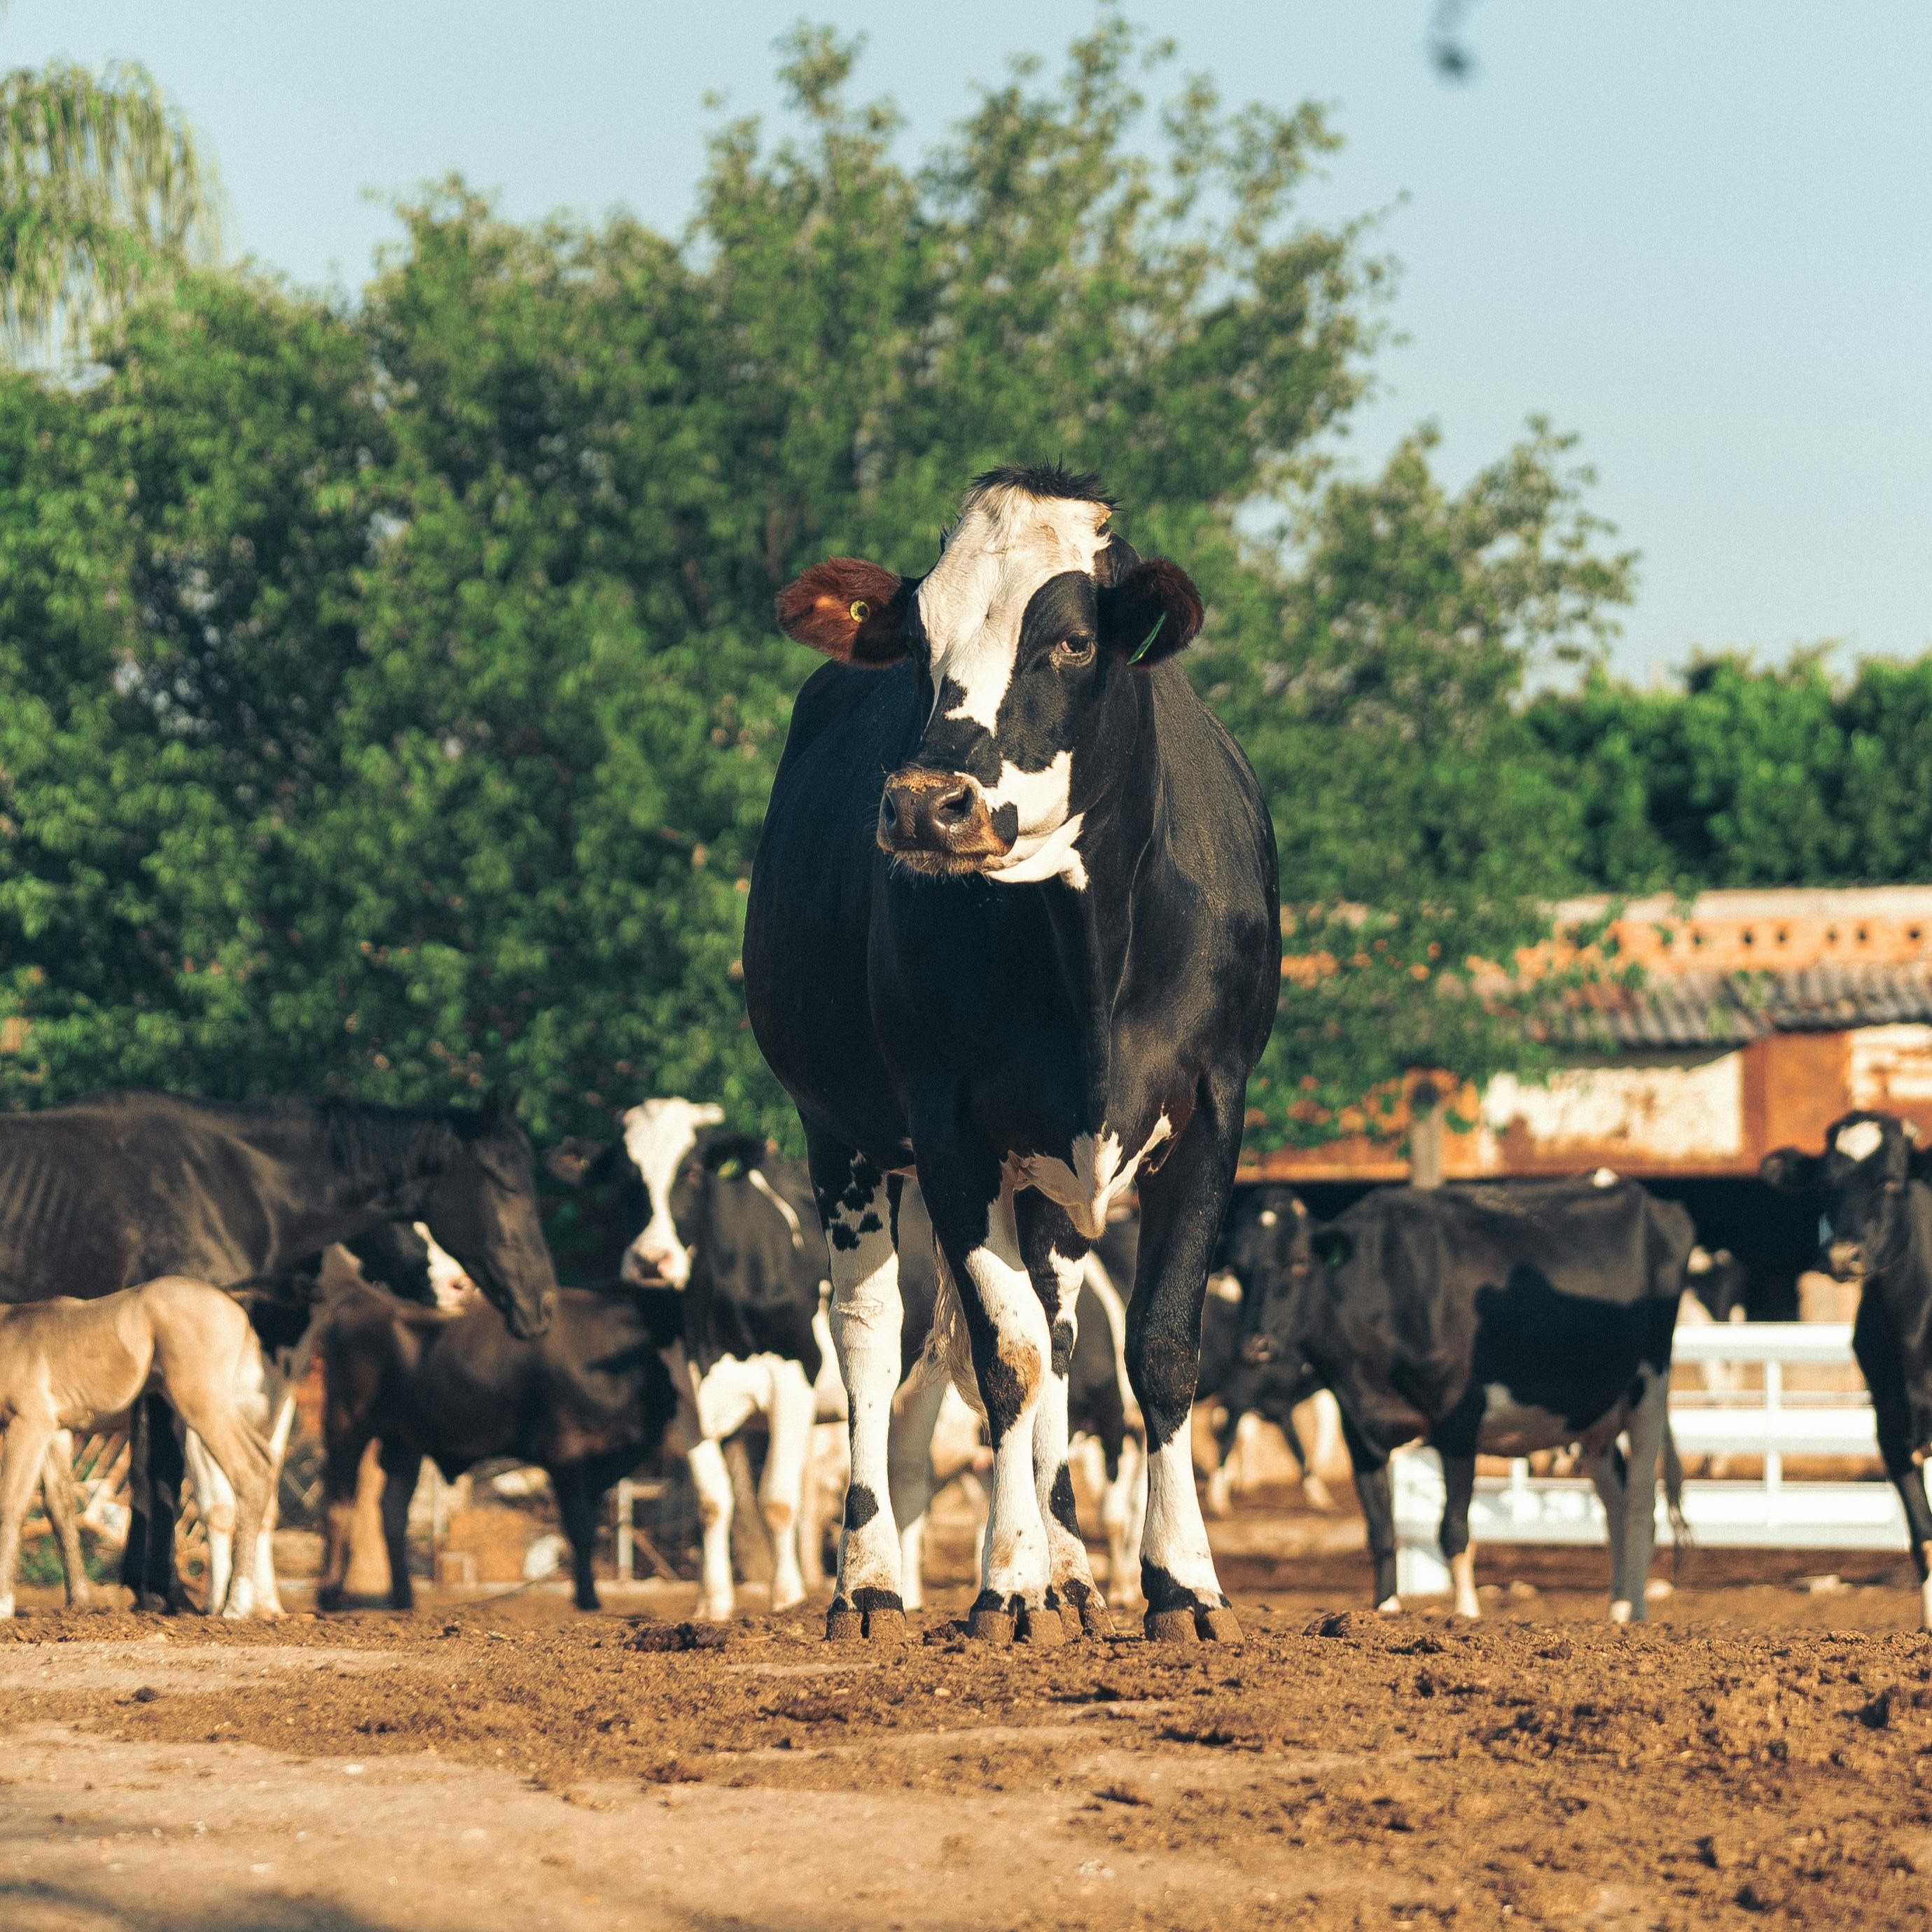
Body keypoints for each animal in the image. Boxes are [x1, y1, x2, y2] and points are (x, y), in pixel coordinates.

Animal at [0, 1089, 557, 1611]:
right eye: (506, 1185)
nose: (540, 1302)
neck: (224, 1182)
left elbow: (227, 1483)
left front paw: (238, 1601)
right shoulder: (181, 1387)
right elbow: (175, 1480)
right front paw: (175, 1597)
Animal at [316, 1282, 679, 1612]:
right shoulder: (567, 1455)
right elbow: (581, 1526)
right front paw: (588, 1600)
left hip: (404, 1443)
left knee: (392, 1512)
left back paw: (404, 1600)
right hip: (346, 1427)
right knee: (338, 1505)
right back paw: (329, 1596)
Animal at [547, 1099, 827, 1619]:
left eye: (694, 1172)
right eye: (622, 1176)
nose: (651, 1260)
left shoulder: (795, 1375)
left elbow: (777, 1499)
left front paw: (787, 1599)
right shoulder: (682, 1393)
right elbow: (712, 1501)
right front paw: (712, 1603)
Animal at [744, 463, 1279, 1645]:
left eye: (1073, 641)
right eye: (915, 643)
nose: (922, 805)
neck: (1088, 955)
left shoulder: (1211, 1110)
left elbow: (1155, 1350)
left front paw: (1180, 1580)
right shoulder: (946, 1126)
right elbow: (1005, 1355)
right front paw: (1006, 1580)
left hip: (1047, 1188)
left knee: (1066, 1331)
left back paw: (1077, 1568)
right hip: (841, 1135)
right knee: (873, 1338)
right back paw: (872, 1581)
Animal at [1238, 1176, 1696, 1622]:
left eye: (1299, 1262)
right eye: (1235, 1268)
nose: (1257, 1345)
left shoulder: (1458, 1421)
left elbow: (1453, 1528)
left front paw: (1465, 1614)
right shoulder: (1359, 1429)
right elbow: (1381, 1531)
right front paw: (1385, 1609)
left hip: (1650, 1387)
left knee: (1640, 1504)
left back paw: (1636, 1613)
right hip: (1593, 1418)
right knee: (1615, 1504)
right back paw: (1617, 1609)